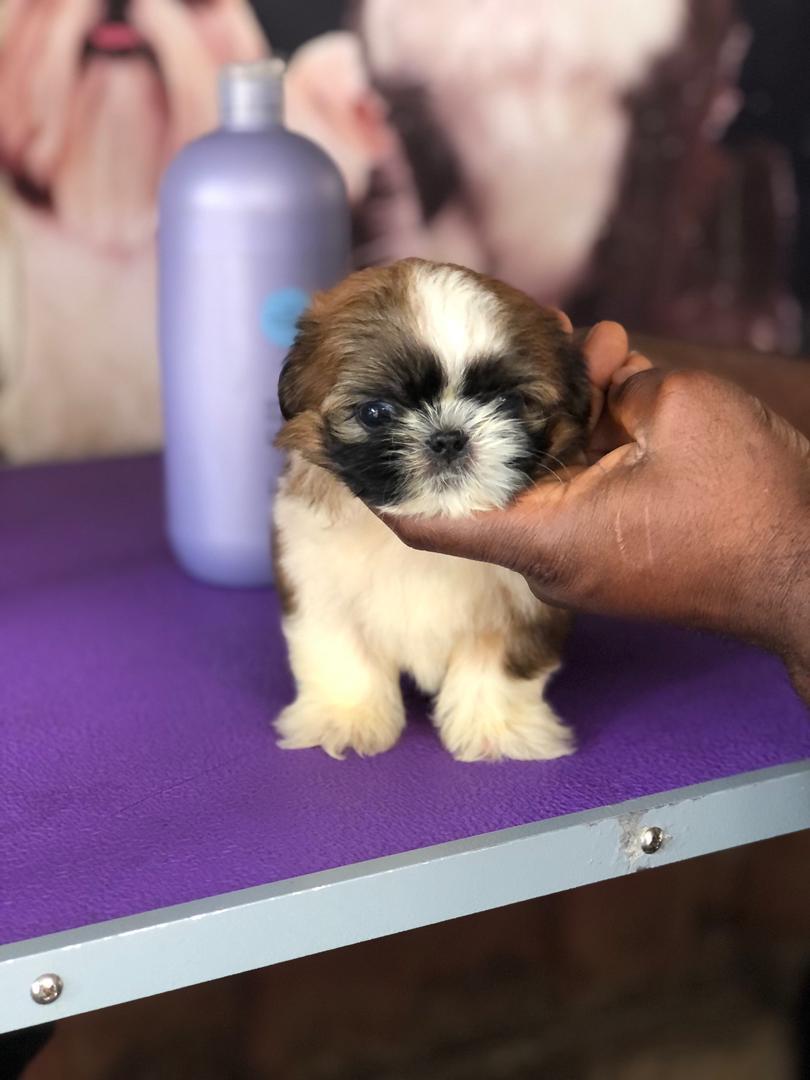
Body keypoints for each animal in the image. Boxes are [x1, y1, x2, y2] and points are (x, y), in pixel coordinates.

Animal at [272, 258, 590, 762]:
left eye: (508, 402)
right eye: (376, 413)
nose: (448, 437)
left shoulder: (526, 605)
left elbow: (498, 665)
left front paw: (496, 728)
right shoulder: (315, 579)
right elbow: (340, 652)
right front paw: (345, 718)